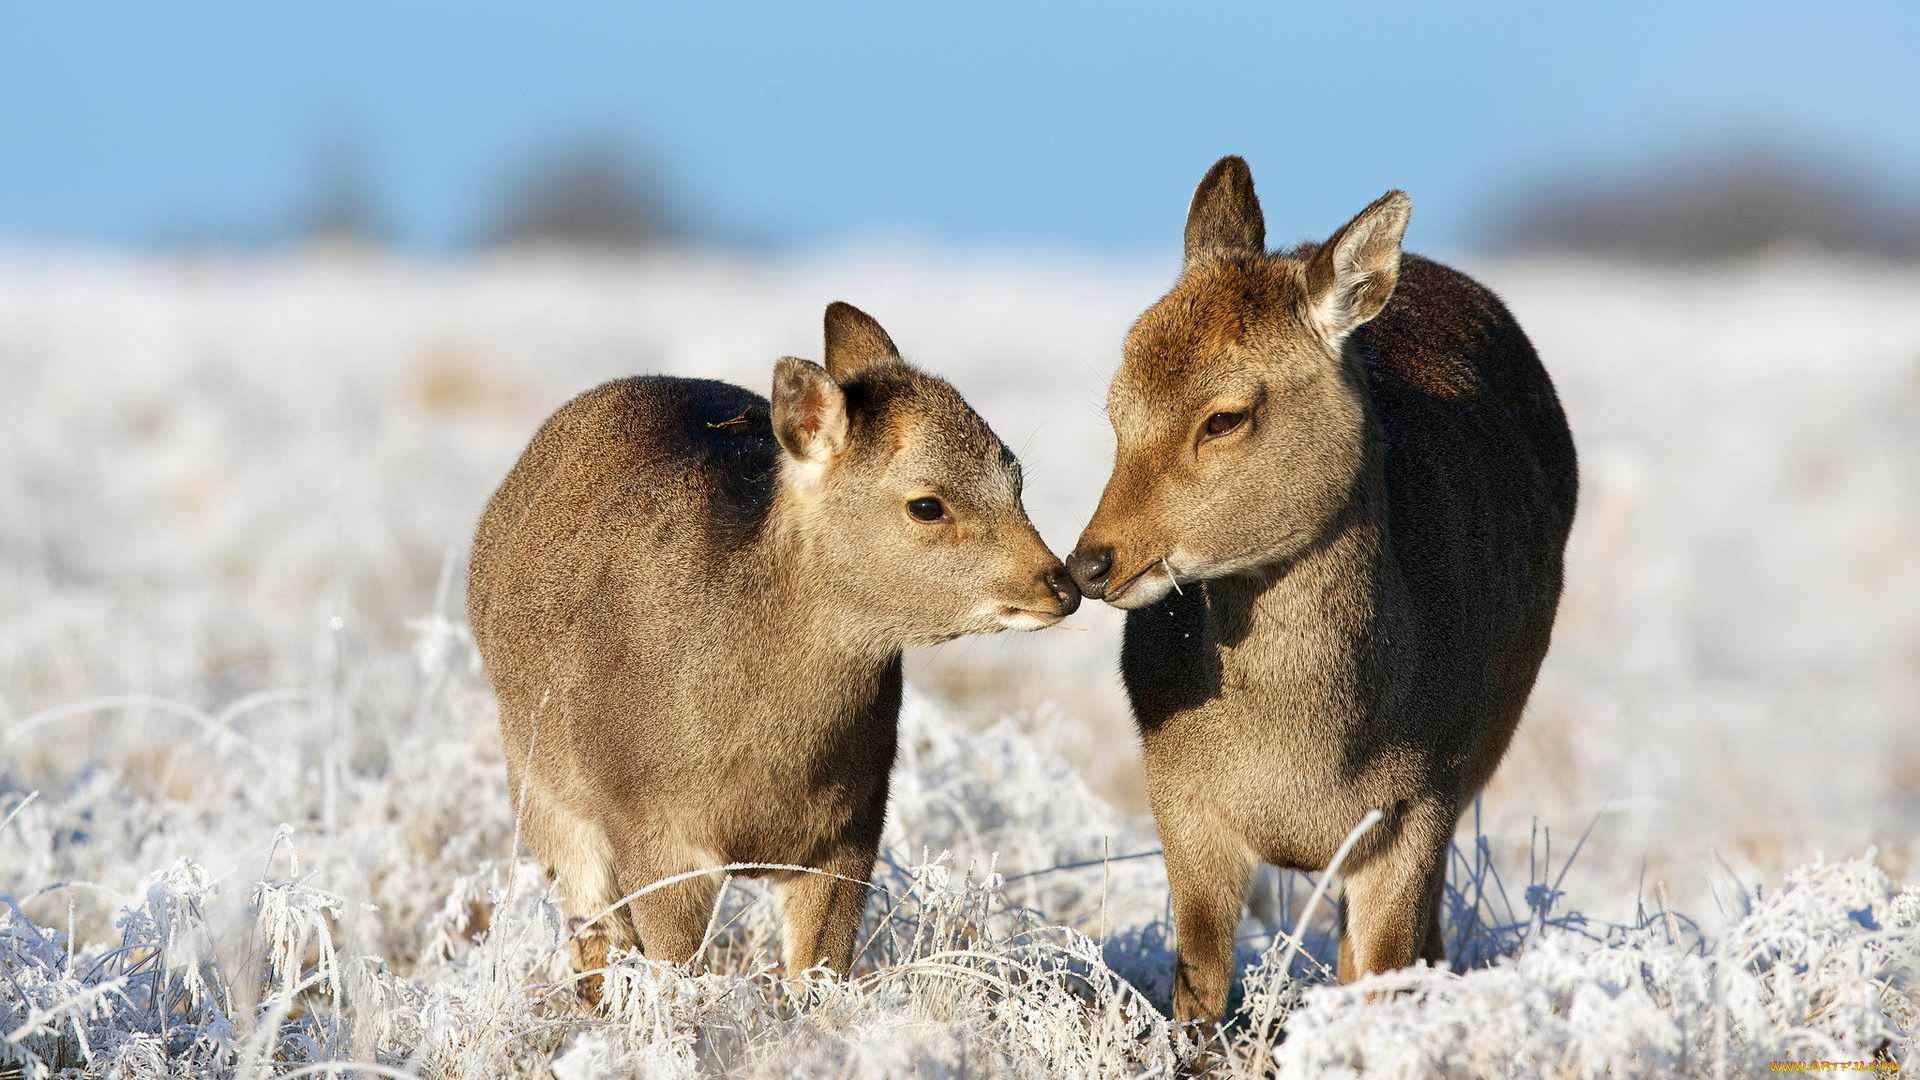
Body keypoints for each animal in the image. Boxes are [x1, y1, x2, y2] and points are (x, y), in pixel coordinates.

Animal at [456, 297, 1075, 999]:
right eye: (926, 505)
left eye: (1016, 477)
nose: (1061, 584)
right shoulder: (651, 824)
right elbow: (671, 973)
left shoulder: (851, 829)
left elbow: (820, 981)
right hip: (538, 785)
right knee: (594, 939)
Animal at [1067, 155, 1574, 1014]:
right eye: (1115, 408)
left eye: (1225, 416)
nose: (1091, 562)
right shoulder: (1178, 793)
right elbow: (1199, 989)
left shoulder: (1422, 800)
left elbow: (1380, 976)